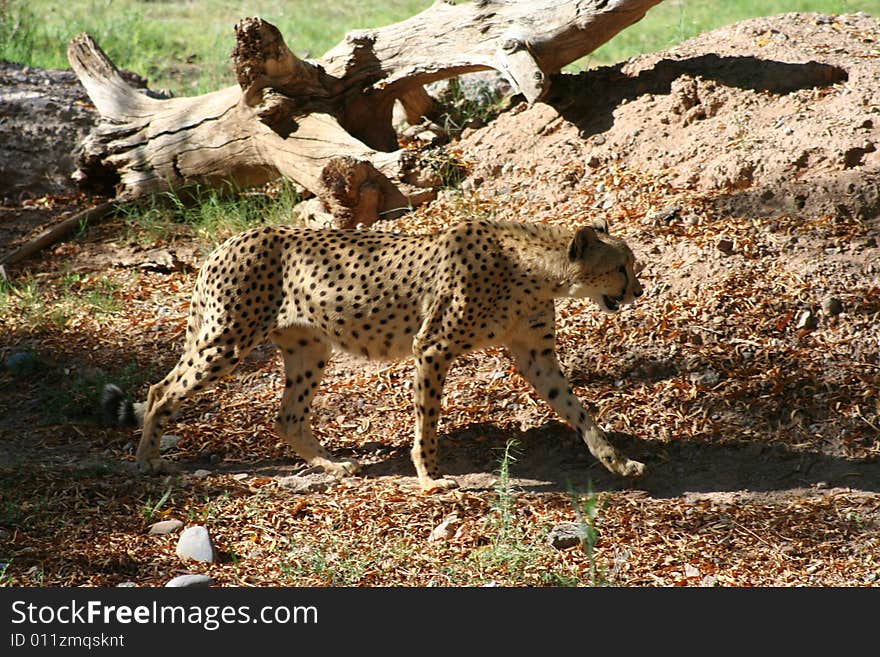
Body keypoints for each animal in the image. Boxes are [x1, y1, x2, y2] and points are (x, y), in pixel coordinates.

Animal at [105, 218, 648, 490]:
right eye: (621, 267)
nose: (639, 290)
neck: (537, 270)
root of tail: (230, 240)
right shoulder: (432, 348)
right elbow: (427, 421)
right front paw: (430, 477)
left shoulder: (537, 357)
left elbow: (579, 411)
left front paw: (617, 462)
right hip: (227, 341)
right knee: (159, 390)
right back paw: (149, 462)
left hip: (308, 347)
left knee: (287, 417)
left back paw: (332, 466)